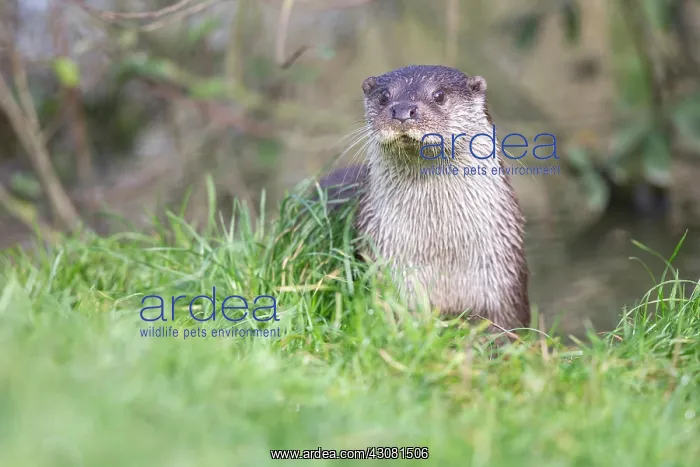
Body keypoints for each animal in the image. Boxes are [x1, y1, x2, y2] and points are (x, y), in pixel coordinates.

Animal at [320, 65, 530, 333]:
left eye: (439, 95)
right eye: (384, 96)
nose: (402, 110)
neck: (442, 253)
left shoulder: (503, 281)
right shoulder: (387, 267)